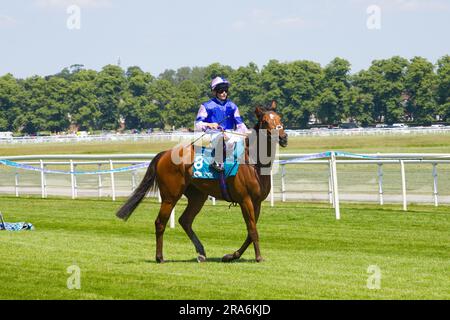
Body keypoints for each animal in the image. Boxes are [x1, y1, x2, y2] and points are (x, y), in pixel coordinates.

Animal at [114, 100, 286, 262]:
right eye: (265, 121)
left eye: (279, 118)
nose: (283, 137)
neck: (253, 162)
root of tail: (165, 153)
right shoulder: (245, 200)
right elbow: (252, 230)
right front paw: (258, 257)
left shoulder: (256, 202)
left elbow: (251, 231)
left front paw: (231, 255)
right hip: (170, 196)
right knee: (160, 222)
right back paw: (160, 257)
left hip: (198, 196)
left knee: (185, 220)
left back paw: (201, 253)